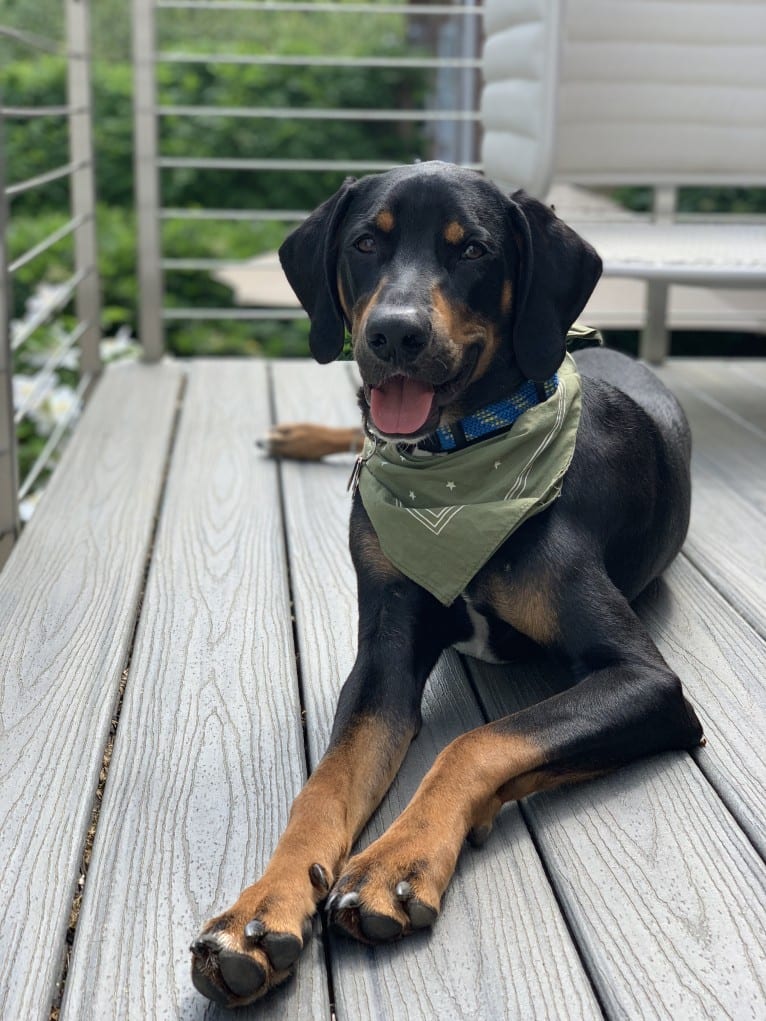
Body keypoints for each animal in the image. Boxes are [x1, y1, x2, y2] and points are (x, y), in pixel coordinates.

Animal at [188, 163, 706, 1008]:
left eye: (475, 251)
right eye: (366, 243)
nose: (395, 335)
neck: (461, 465)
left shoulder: (646, 679)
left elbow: (480, 740)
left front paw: (395, 864)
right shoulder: (383, 662)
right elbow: (321, 786)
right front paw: (259, 911)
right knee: (358, 430)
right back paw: (305, 435)